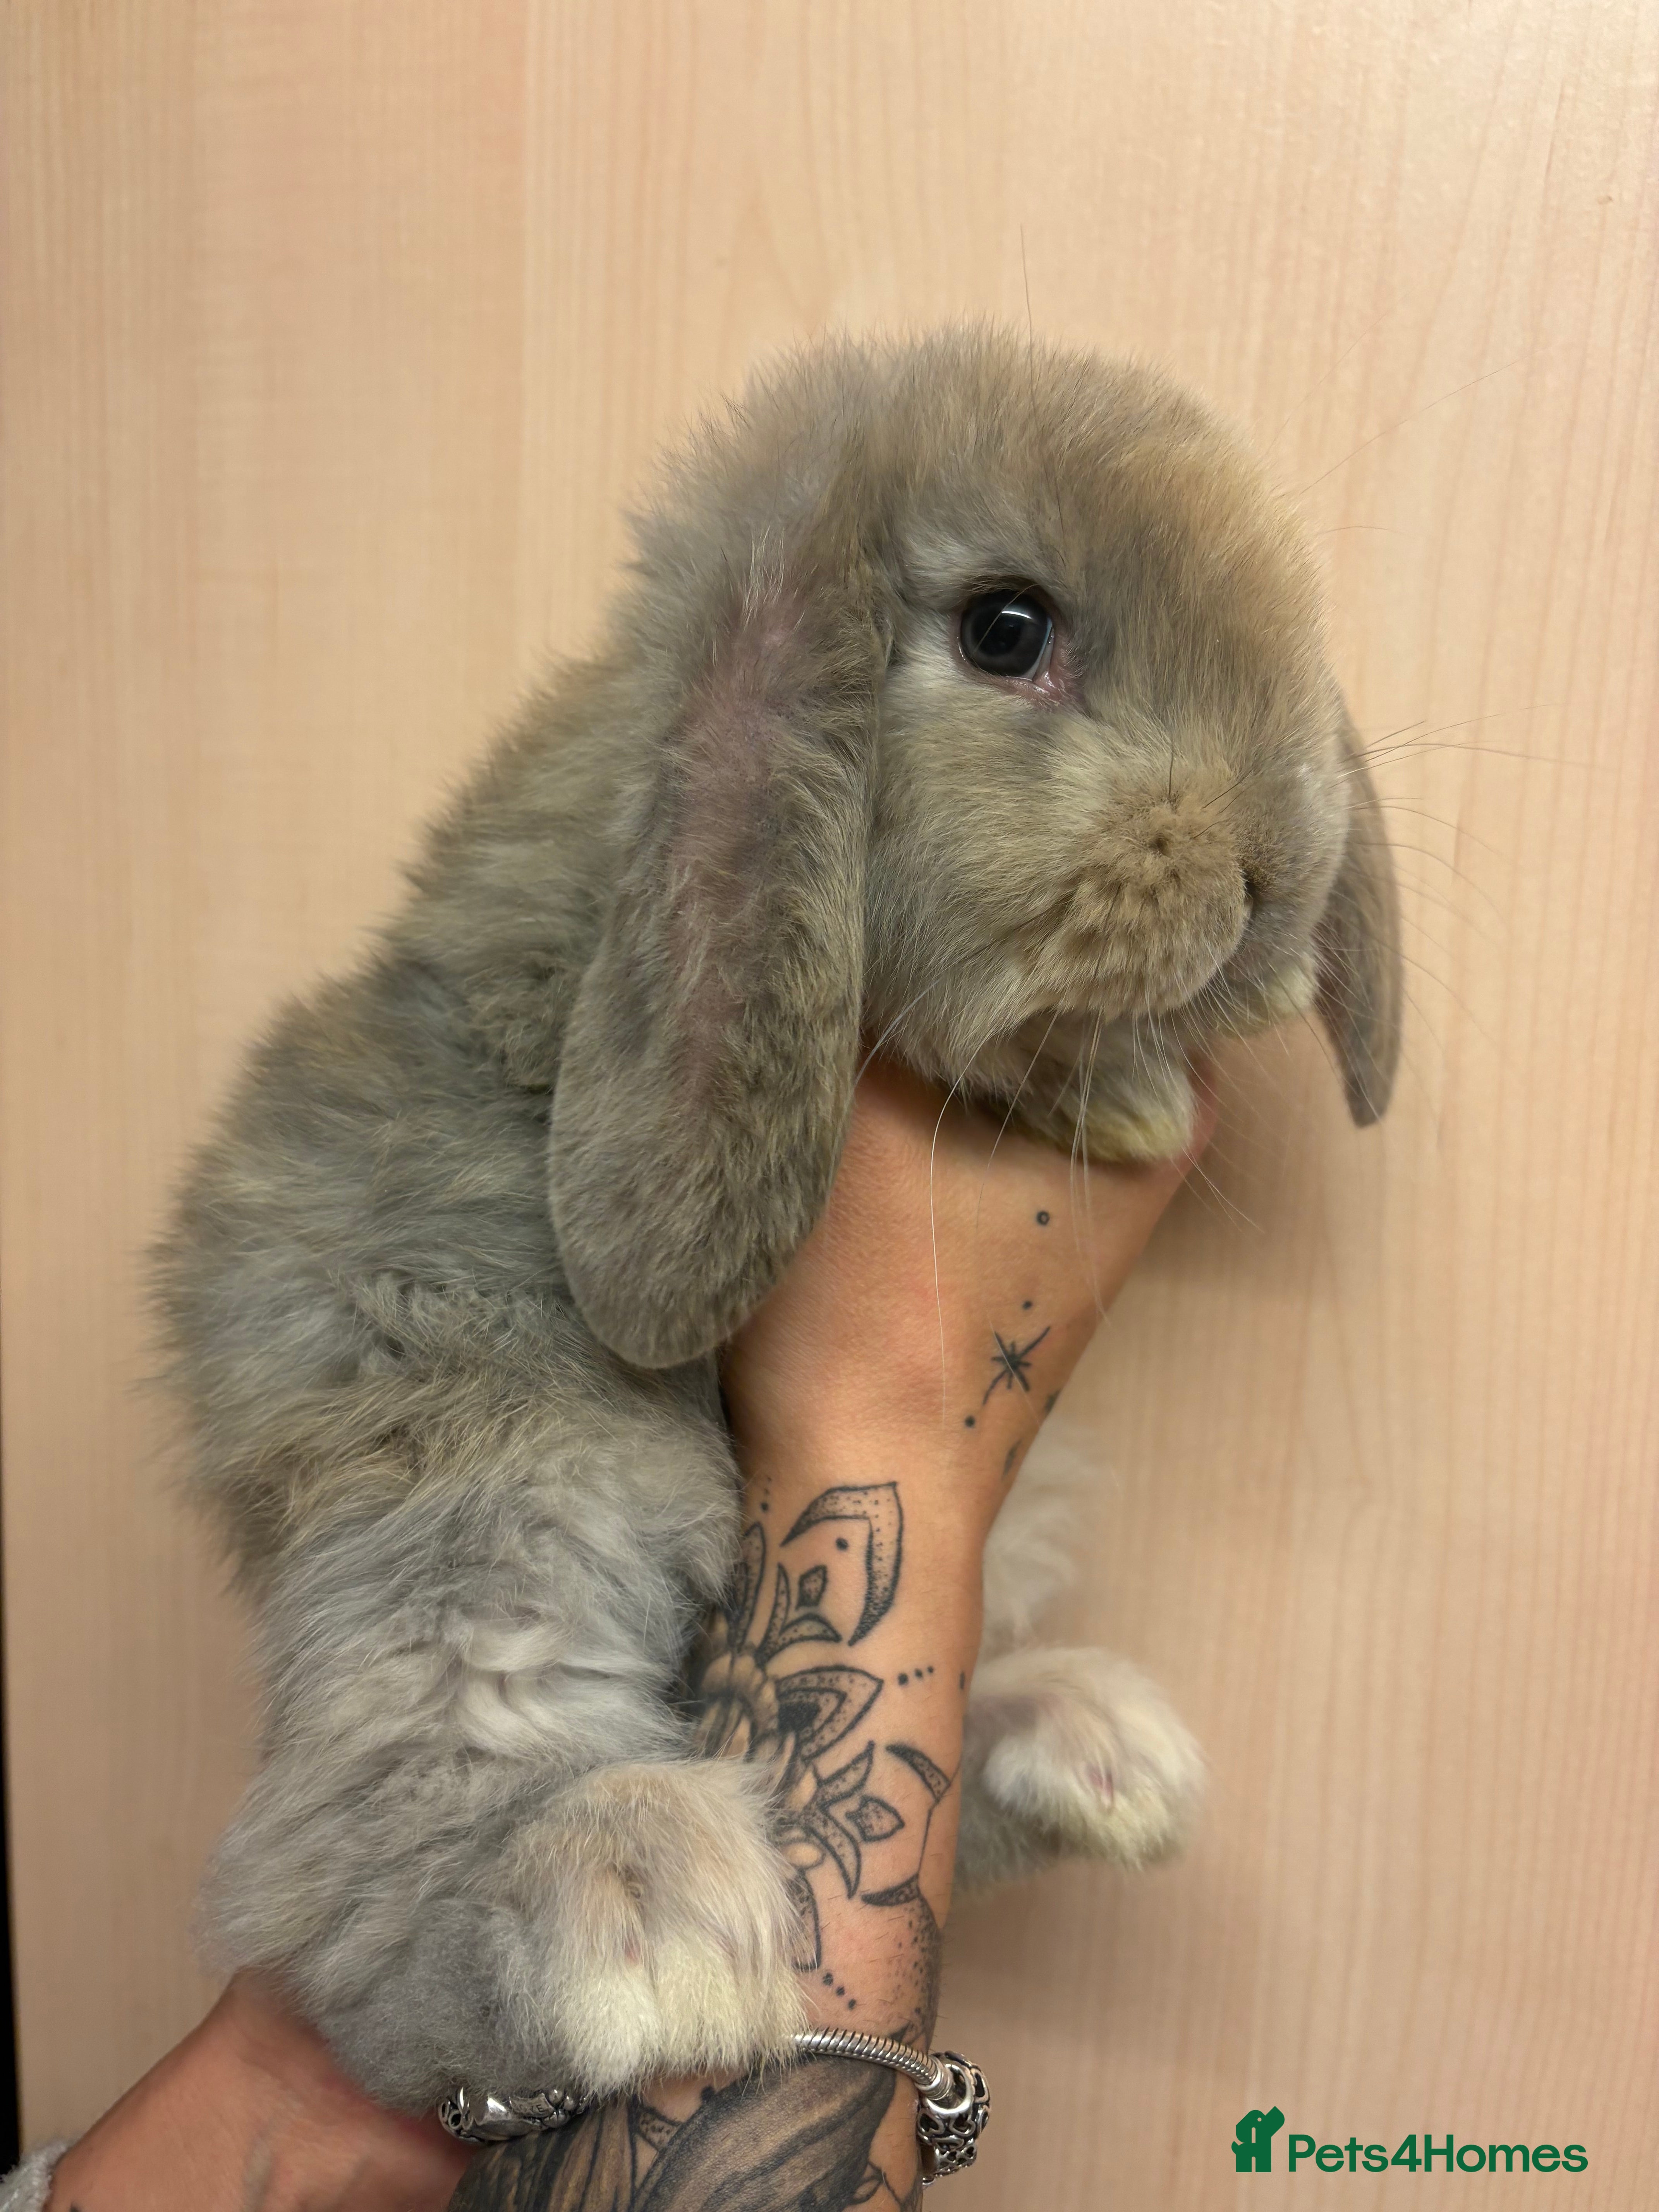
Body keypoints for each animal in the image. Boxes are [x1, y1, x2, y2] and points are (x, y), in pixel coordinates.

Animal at [152, 326, 1400, 2113]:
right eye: (1005, 629)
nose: (1269, 870)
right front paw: (1132, 1093)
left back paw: (1091, 1749)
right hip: (482, 1447)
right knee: (373, 1859)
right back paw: (637, 1903)